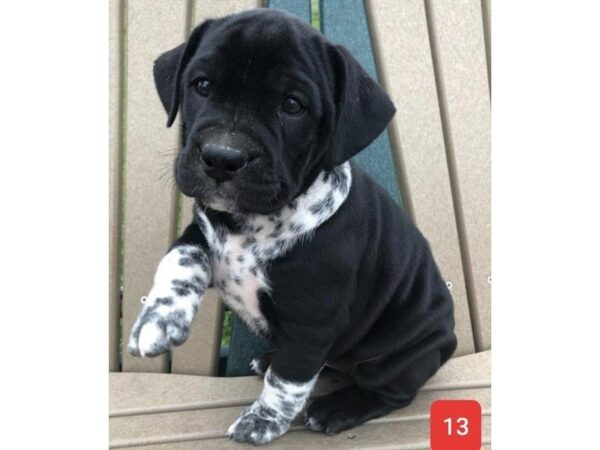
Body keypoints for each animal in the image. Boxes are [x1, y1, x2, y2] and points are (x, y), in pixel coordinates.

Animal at [126, 8, 454, 444]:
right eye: (202, 85)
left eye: (292, 105)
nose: (222, 157)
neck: (251, 225)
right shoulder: (204, 229)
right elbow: (180, 258)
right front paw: (159, 319)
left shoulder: (313, 323)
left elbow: (290, 379)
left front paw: (263, 420)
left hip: (398, 357)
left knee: (391, 390)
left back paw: (338, 408)